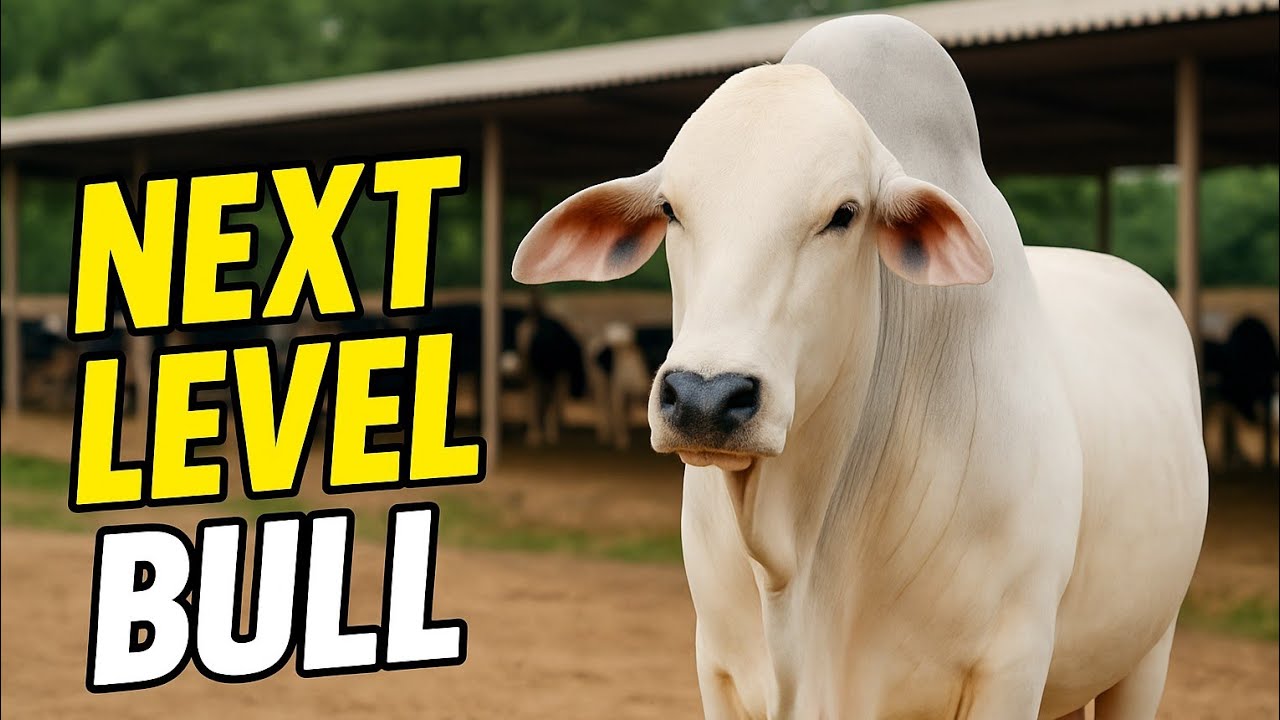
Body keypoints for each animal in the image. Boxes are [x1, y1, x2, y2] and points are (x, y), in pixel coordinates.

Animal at [511, 15, 1207, 720]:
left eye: (843, 214)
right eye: (670, 210)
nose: (705, 398)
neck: (798, 564)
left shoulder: (1012, 667)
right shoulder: (719, 668)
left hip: (1148, 648)